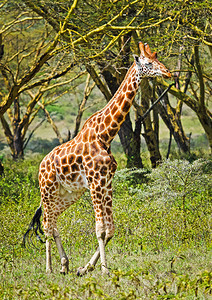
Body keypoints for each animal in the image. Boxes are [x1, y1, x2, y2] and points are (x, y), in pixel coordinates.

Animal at [24, 41, 171, 274]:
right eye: (148, 63)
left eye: (157, 59)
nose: (167, 72)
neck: (105, 134)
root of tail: (40, 165)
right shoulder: (95, 183)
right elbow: (100, 228)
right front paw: (104, 269)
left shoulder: (107, 182)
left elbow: (110, 229)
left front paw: (85, 268)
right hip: (47, 190)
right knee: (47, 224)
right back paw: (49, 268)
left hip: (67, 195)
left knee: (52, 222)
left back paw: (64, 265)